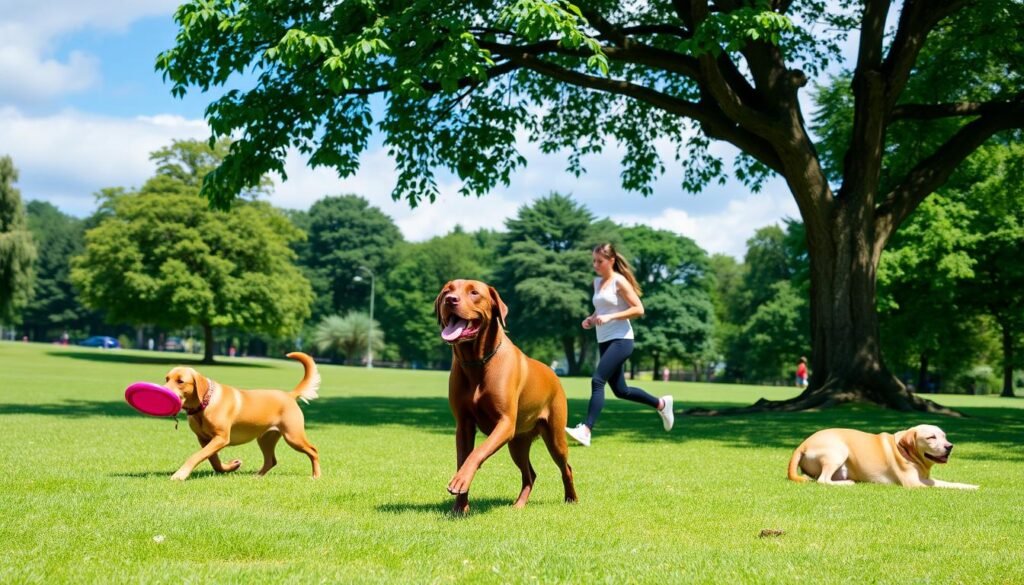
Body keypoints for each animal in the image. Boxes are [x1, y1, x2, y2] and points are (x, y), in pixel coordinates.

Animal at [162, 352, 319, 481]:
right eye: (167, 379)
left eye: (180, 381)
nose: (163, 390)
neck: (205, 404)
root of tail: (289, 395)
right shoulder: (204, 439)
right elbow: (213, 460)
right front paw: (231, 466)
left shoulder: (221, 438)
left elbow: (196, 456)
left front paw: (180, 474)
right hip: (266, 438)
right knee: (271, 460)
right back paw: (257, 476)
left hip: (293, 436)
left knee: (313, 451)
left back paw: (316, 476)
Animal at [434, 278, 577, 512]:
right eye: (447, 290)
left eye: (474, 293)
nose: (450, 300)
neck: (477, 361)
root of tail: (554, 374)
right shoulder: (463, 425)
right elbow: (463, 458)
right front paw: (460, 508)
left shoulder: (505, 423)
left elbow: (478, 452)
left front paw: (460, 480)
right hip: (518, 442)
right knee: (530, 474)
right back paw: (519, 504)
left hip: (554, 435)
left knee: (566, 467)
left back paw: (571, 499)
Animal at [786, 426, 978, 489]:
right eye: (931, 437)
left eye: (944, 436)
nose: (949, 446)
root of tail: (802, 444)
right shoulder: (913, 483)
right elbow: (945, 484)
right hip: (838, 450)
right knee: (823, 480)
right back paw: (848, 483)